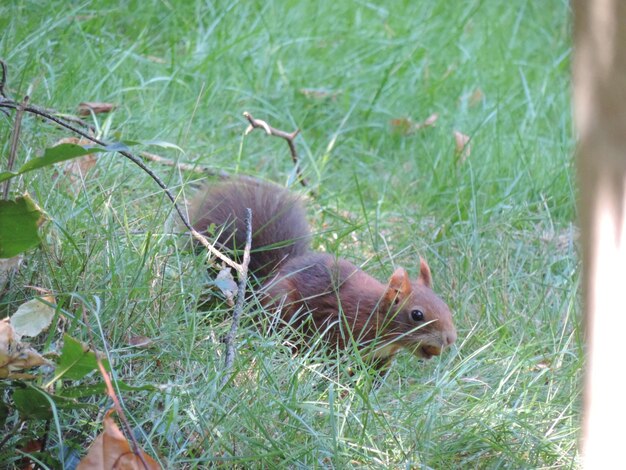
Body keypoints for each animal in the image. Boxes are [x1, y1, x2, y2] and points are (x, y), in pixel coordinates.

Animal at [188, 178, 456, 370]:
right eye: (417, 315)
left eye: (446, 307)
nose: (450, 339)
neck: (375, 314)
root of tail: (268, 279)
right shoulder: (339, 328)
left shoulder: (379, 360)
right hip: (280, 305)